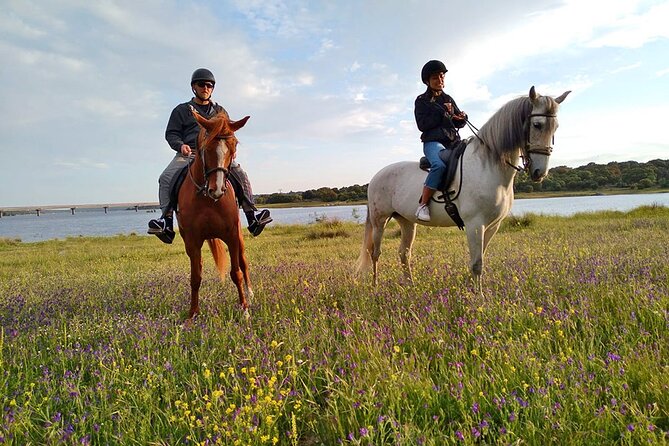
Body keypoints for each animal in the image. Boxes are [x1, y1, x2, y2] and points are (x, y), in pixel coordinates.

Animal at [176, 109, 252, 322]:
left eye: (234, 146)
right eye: (206, 147)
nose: (217, 189)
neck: (208, 200)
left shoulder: (232, 235)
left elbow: (236, 273)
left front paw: (244, 309)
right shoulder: (192, 241)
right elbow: (195, 277)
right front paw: (192, 314)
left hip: (240, 238)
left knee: (243, 262)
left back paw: (250, 293)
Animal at [354, 86, 568, 290]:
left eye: (556, 127)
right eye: (537, 125)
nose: (539, 172)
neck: (487, 165)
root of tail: (375, 177)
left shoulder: (492, 226)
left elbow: (480, 259)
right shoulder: (475, 224)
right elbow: (477, 264)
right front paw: (478, 297)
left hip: (407, 222)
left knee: (404, 253)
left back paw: (410, 286)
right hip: (380, 221)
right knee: (375, 252)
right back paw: (375, 287)